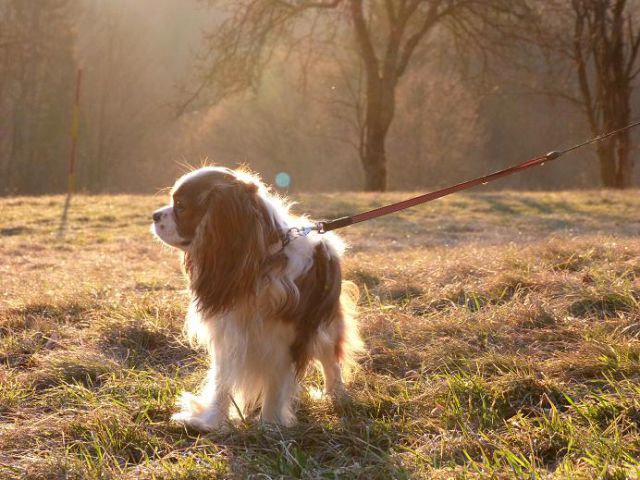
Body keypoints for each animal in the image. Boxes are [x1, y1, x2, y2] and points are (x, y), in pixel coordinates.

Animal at [150, 166, 360, 432]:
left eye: (181, 206)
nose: (155, 215)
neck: (259, 265)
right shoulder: (227, 336)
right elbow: (222, 382)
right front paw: (211, 422)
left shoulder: (283, 341)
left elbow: (275, 386)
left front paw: (269, 427)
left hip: (327, 326)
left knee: (330, 360)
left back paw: (337, 395)